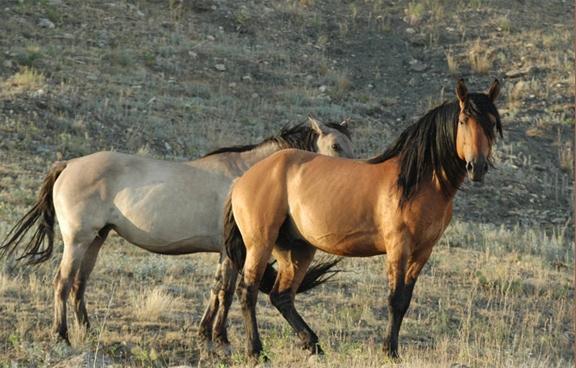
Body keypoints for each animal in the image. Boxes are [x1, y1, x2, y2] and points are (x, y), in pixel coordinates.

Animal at [223, 79, 502, 360]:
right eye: (464, 120)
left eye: (492, 122)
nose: (477, 167)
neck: (416, 182)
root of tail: (244, 179)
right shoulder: (398, 248)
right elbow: (395, 299)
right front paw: (390, 351)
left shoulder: (423, 251)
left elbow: (405, 300)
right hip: (260, 244)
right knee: (248, 291)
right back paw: (256, 351)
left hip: (296, 249)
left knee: (281, 296)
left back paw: (313, 344)